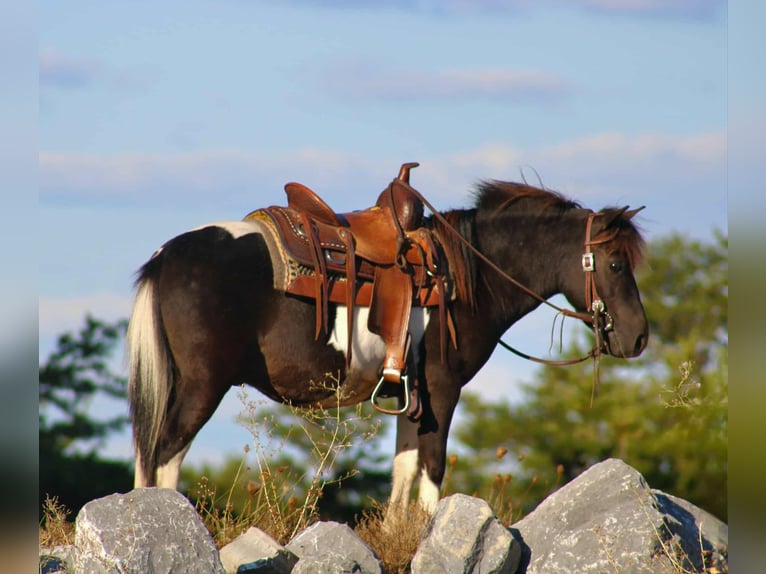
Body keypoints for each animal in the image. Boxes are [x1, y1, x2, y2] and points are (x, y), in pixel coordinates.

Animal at [126, 176, 648, 514]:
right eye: (616, 264)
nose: (639, 336)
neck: (462, 274)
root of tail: (166, 255)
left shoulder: (409, 394)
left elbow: (405, 468)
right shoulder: (442, 387)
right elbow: (432, 467)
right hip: (202, 385)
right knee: (166, 452)